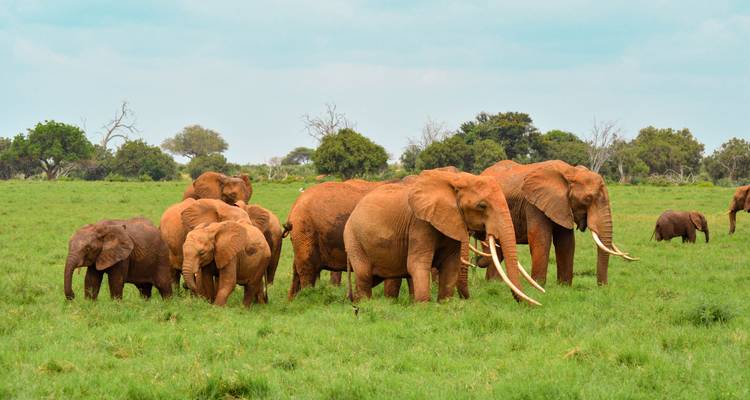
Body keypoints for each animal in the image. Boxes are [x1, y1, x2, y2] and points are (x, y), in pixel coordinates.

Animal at [344, 168, 542, 304]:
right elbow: (417, 263)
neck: (455, 181)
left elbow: (451, 264)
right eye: (482, 206)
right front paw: (423, 306)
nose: (531, 305)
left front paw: (444, 303)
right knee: (364, 274)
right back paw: (365, 304)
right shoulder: (419, 223)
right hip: (353, 238)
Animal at [480, 160, 635, 287]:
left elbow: (566, 242)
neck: (571, 172)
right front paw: (538, 285)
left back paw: (494, 283)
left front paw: (564, 286)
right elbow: (541, 239)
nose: (603, 286)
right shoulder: (534, 204)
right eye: (588, 199)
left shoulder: (562, 205)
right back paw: (494, 283)